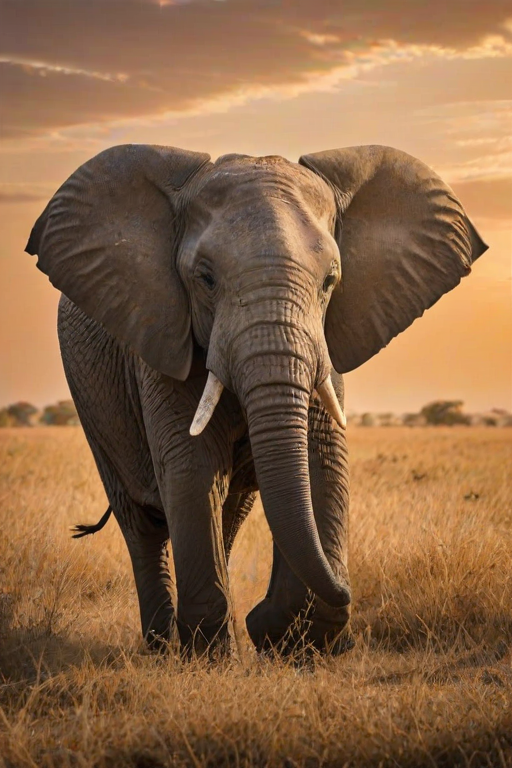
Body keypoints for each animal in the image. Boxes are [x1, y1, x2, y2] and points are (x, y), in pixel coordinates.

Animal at [25, 144, 487, 656]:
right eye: (205, 279)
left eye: (330, 282)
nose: (348, 592)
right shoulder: (161, 334)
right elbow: (192, 466)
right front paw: (216, 655)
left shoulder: (327, 343)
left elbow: (323, 460)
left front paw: (289, 638)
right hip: (90, 398)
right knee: (141, 520)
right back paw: (163, 646)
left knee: (230, 510)